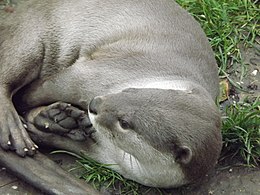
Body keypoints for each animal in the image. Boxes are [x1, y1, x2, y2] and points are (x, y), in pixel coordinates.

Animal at [1, 0, 221, 192]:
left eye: (124, 123)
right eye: (130, 91)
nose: (95, 103)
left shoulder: (109, 157)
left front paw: (46, 126)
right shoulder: (93, 73)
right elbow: (41, 90)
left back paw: (59, 119)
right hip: (32, 35)